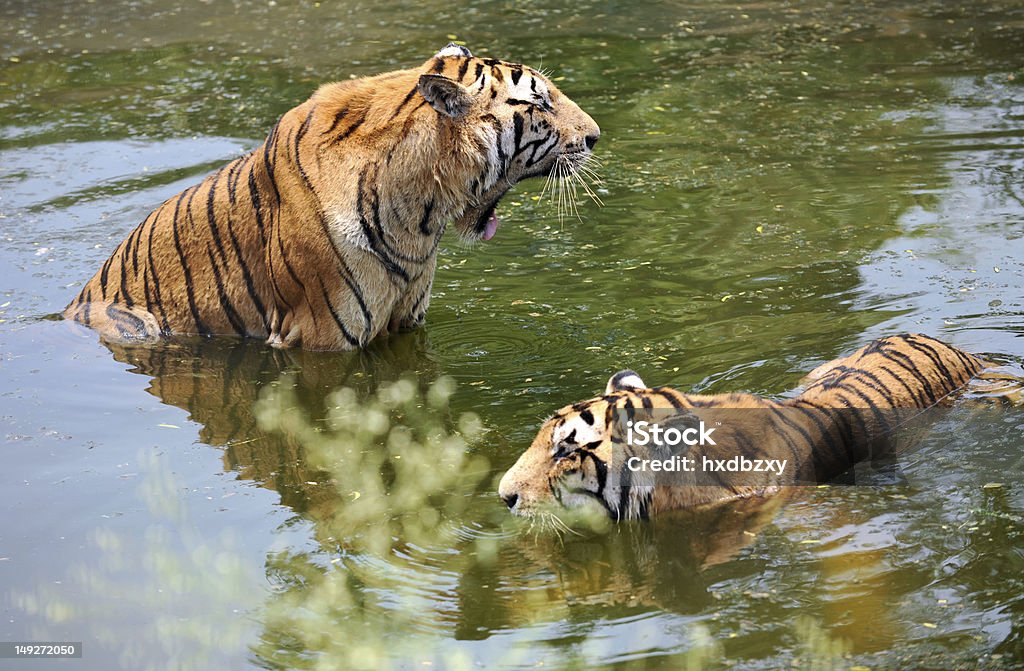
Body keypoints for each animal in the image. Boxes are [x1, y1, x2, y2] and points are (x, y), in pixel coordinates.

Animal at [64, 42, 598, 348]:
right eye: (540, 102)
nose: (595, 136)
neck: (421, 214)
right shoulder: (322, 334)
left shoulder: (406, 324)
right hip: (136, 326)